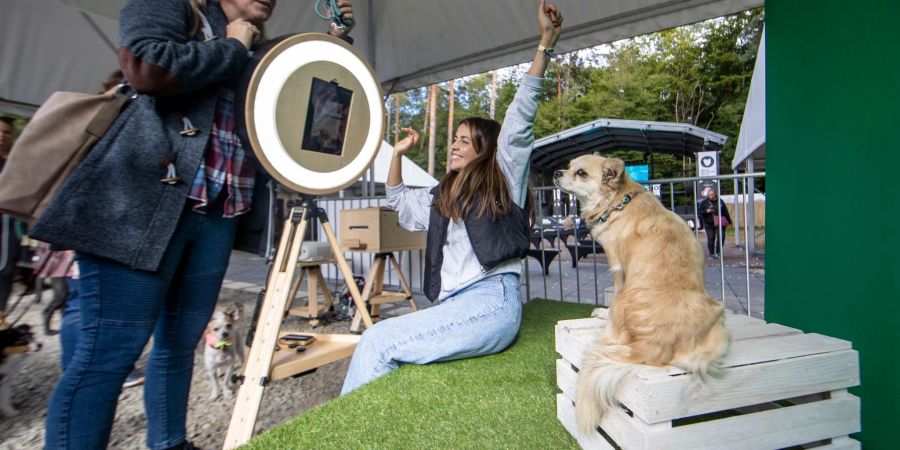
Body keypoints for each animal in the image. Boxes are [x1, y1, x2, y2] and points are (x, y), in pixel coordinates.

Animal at [556, 155, 732, 432]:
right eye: (569, 165)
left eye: (581, 172)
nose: (555, 173)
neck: (619, 201)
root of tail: (654, 345)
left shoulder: (618, 266)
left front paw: (602, 313)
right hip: (718, 329)